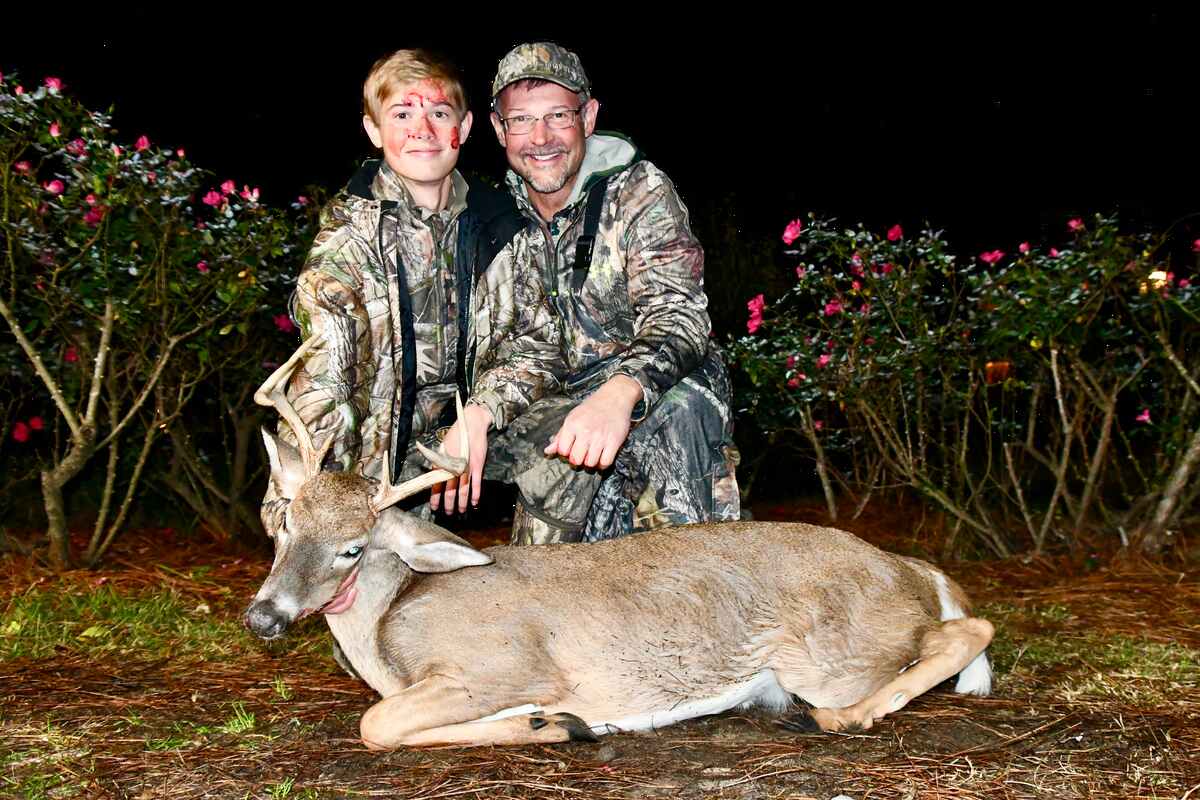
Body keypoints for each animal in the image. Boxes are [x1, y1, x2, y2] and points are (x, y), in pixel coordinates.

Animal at [245, 335, 995, 750]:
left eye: (353, 547)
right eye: (285, 525)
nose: (263, 616)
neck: (387, 627)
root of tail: (908, 570)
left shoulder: (505, 667)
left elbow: (375, 726)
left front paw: (554, 723)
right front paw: (554, 725)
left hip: (827, 656)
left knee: (966, 631)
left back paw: (847, 716)